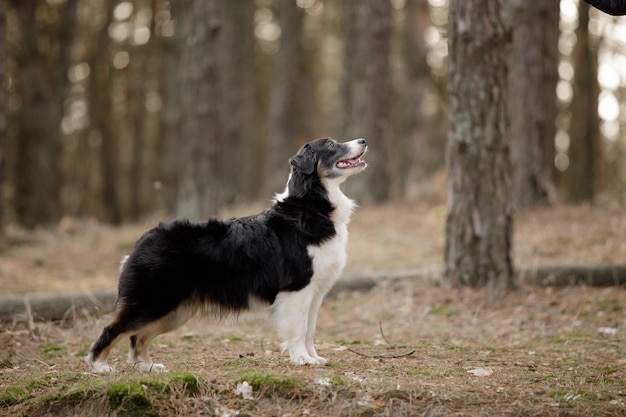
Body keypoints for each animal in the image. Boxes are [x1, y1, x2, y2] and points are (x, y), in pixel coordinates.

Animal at [84, 138, 366, 372]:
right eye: (330, 145)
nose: (362, 140)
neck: (311, 205)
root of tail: (141, 241)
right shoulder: (296, 289)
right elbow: (297, 329)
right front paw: (302, 360)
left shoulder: (315, 292)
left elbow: (310, 329)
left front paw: (313, 357)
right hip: (153, 301)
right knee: (114, 329)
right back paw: (99, 366)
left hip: (173, 311)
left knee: (138, 337)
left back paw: (146, 366)